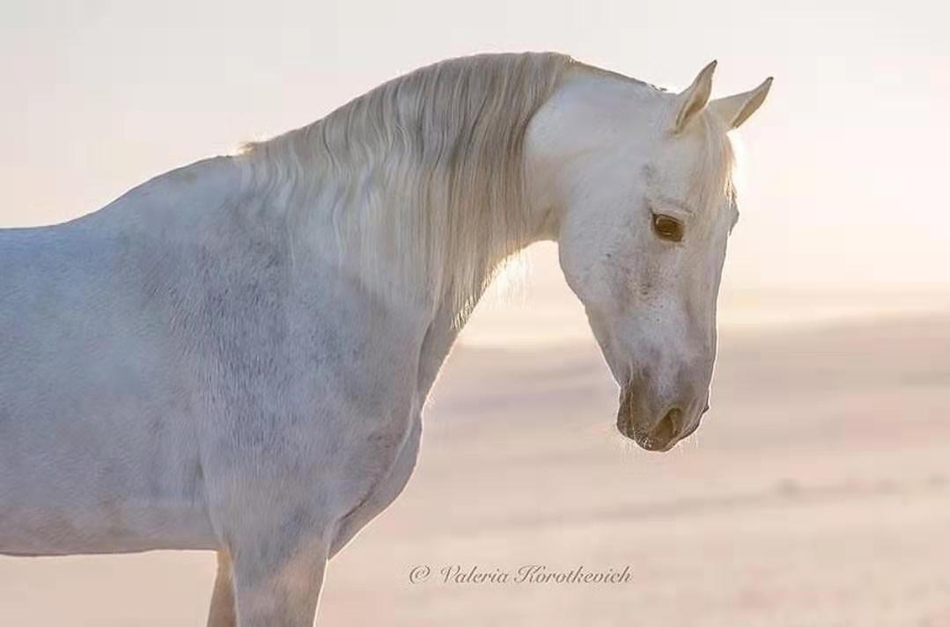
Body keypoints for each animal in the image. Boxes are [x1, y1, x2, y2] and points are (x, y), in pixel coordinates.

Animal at [0, 52, 771, 626]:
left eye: (731, 223)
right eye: (667, 223)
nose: (678, 410)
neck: (313, 277)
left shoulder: (239, 554)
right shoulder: (276, 552)